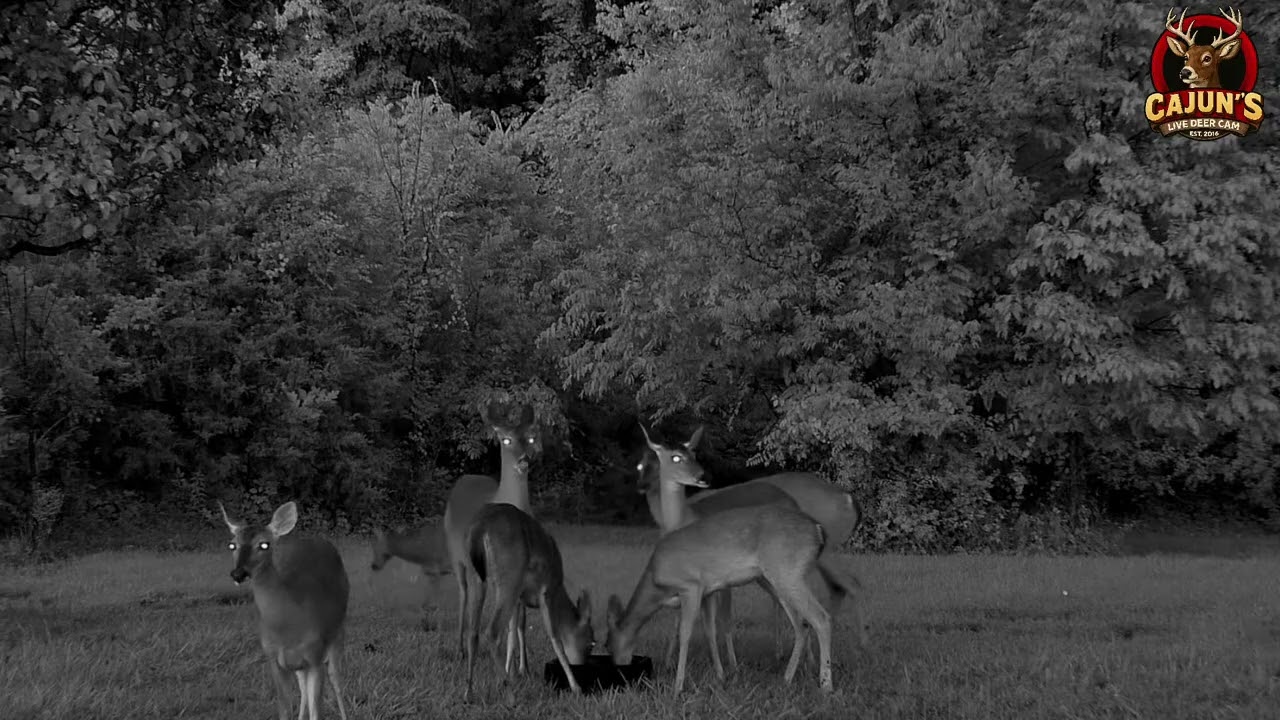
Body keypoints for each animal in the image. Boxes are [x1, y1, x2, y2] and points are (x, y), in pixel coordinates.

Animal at [220, 501, 350, 720]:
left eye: (264, 544)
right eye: (232, 545)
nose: (238, 573)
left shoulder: (315, 655)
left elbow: (317, 712)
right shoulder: (274, 657)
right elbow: (285, 709)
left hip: (337, 631)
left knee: (337, 680)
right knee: (303, 688)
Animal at [443, 401, 541, 671]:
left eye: (531, 437)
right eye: (506, 440)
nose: (524, 460)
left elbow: (520, 620)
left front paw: (523, 666)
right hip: (457, 556)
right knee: (463, 596)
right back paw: (459, 650)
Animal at [462, 502, 594, 701]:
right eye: (590, 643)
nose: (583, 666)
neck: (559, 589)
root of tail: (480, 527)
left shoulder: (519, 598)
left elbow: (513, 634)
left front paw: (512, 675)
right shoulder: (546, 592)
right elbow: (555, 638)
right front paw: (576, 688)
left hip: (475, 575)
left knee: (473, 632)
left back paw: (469, 693)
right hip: (510, 575)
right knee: (492, 631)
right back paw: (510, 697)